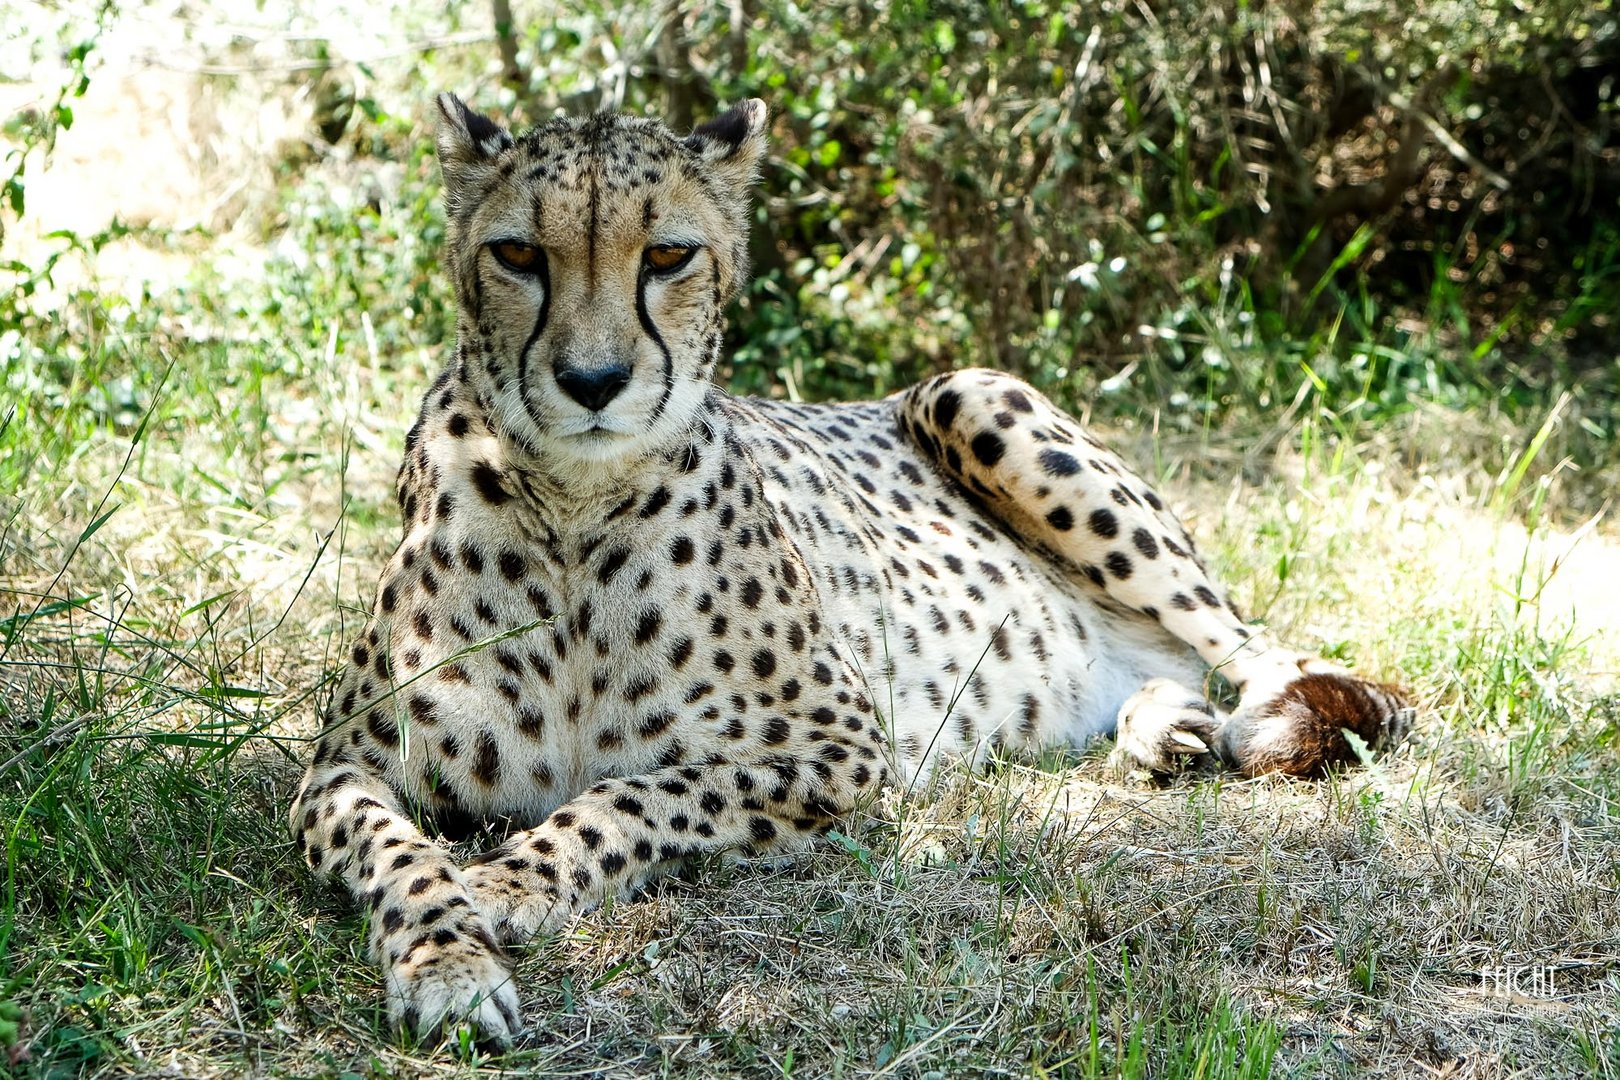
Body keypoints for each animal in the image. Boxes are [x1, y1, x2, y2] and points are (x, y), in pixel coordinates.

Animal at [289, 94, 1412, 1045]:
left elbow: (634, 797)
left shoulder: (839, 748)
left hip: (971, 394)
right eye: (519, 253)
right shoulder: (341, 767)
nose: (593, 380)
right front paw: (447, 961)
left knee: (1267, 656)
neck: (573, 507)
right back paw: (1163, 728)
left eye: (668, 255)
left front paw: (510, 882)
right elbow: (398, 852)